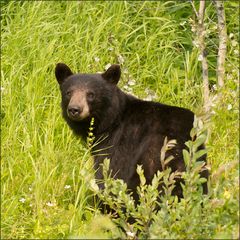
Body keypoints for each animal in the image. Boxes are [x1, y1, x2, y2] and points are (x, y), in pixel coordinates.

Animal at [54, 62, 208, 200]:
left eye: (91, 94)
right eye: (68, 92)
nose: (74, 109)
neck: (111, 121)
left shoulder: (120, 142)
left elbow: (111, 172)